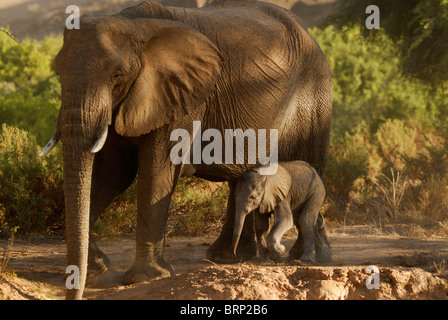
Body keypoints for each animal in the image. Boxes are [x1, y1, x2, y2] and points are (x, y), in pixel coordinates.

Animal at [39, 0, 332, 300]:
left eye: (116, 75)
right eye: (59, 73)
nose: (76, 285)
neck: (133, 26)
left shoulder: (179, 96)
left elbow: (157, 172)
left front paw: (145, 277)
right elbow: (112, 174)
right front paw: (99, 270)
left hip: (313, 99)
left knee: (306, 166)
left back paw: (307, 257)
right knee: (244, 179)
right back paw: (229, 258)